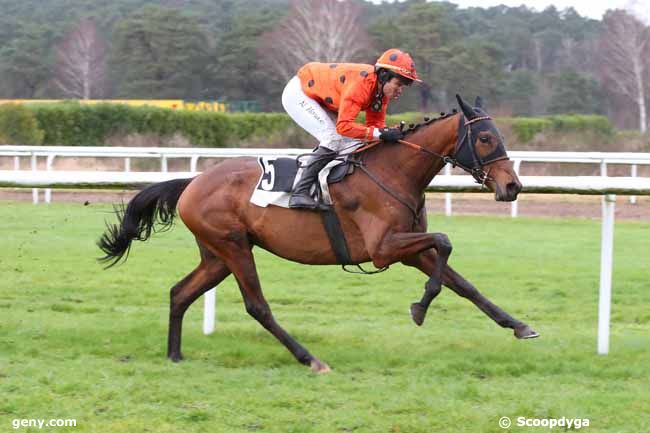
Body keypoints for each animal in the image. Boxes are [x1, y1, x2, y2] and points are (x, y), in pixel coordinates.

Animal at [97, 93, 536, 372]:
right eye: (485, 138)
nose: (512, 186)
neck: (394, 172)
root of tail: (193, 182)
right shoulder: (383, 249)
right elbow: (446, 244)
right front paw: (420, 307)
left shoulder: (410, 249)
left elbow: (463, 283)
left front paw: (518, 325)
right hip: (233, 247)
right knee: (257, 306)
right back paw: (311, 359)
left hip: (217, 254)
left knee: (180, 292)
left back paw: (175, 355)